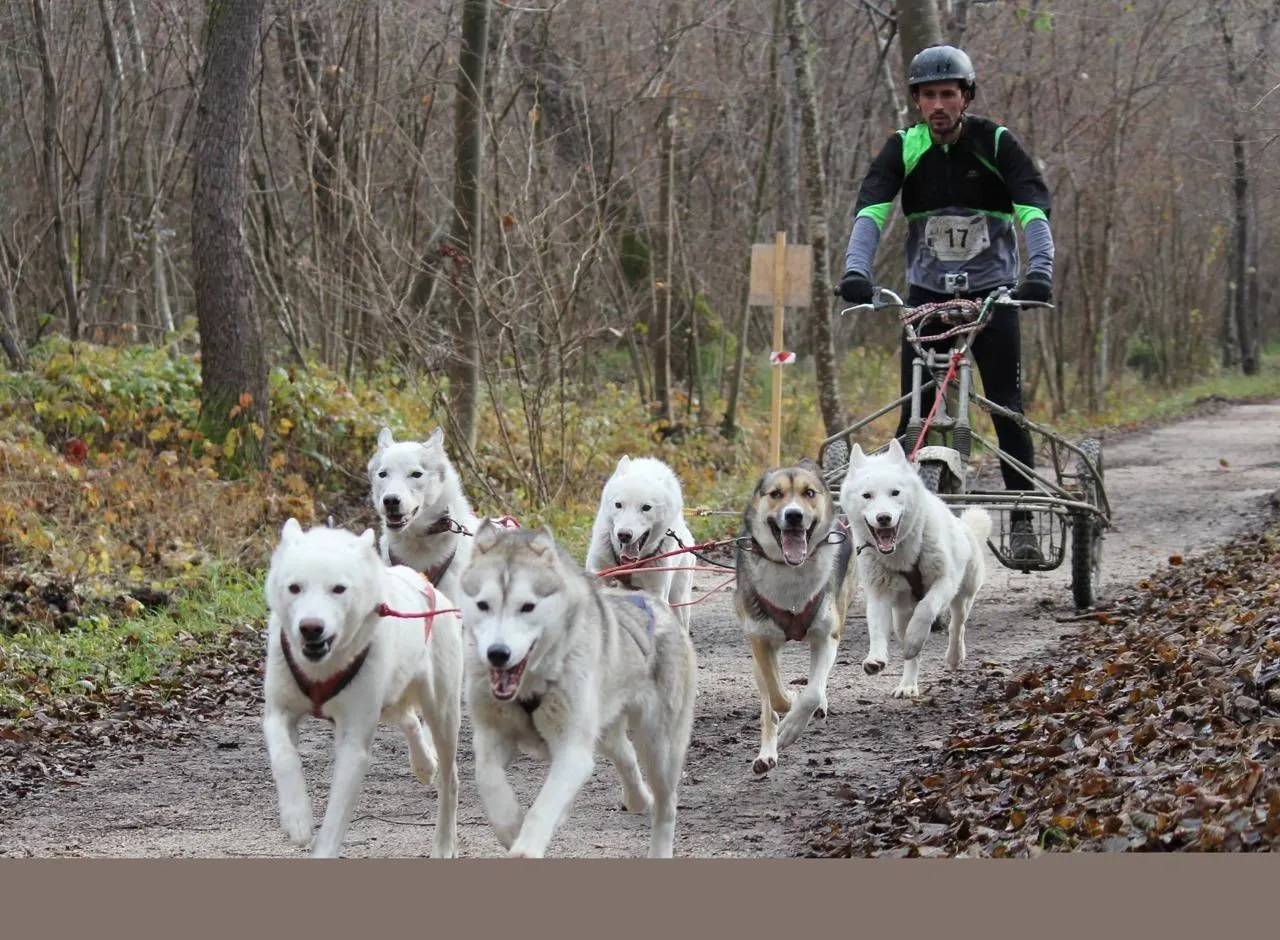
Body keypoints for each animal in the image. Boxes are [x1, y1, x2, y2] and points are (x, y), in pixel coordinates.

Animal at [260, 518, 464, 858]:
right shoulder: (278, 711)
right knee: (409, 719)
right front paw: (296, 817)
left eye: (338, 589)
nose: (311, 627)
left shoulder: (354, 741)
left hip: (442, 712)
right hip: (389, 699)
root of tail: (423, 582)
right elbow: (283, 756)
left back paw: (444, 842)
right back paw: (423, 763)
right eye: (294, 587)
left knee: (450, 780)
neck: (322, 668)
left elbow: (334, 820)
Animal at [456, 519, 698, 858]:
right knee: (624, 754)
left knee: (667, 805)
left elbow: (544, 806)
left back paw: (659, 845)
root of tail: (653, 605)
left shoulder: (572, 750)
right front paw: (511, 827)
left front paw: (526, 846)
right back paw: (637, 798)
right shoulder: (492, 736)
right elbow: (488, 779)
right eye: (483, 604)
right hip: (606, 728)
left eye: (527, 606)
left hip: (659, 746)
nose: (497, 653)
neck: (531, 685)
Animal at [584, 455, 696, 629]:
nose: (624, 535)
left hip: (679, 597)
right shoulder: (599, 574)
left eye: (646, 507)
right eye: (618, 505)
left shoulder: (656, 593)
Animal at [732, 458, 857, 775]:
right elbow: (776, 697)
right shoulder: (760, 641)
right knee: (767, 701)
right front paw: (788, 704)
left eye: (809, 493)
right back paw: (767, 752)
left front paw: (795, 723)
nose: (793, 516)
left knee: (817, 683)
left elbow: (811, 693)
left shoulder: (827, 636)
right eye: (775, 494)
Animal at [839, 438, 993, 699]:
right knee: (913, 655)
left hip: (963, 595)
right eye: (867, 495)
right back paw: (907, 684)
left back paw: (953, 656)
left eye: (895, 492)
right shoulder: (879, 593)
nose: (883, 517)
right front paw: (875, 658)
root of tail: (965, 527)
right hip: (901, 615)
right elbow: (876, 628)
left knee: (957, 625)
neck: (903, 556)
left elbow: (926, 608)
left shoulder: (944, 582)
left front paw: (915, 639)